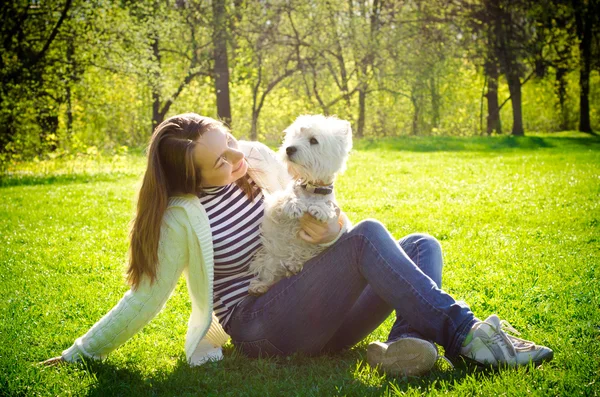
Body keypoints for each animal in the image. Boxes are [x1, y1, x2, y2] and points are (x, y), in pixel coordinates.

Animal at [247, 113, 352, 294]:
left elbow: (327, 205)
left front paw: (320, 209)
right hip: (270, 257)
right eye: (294, 136)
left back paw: (293, 266)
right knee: (270, 274)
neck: (311, 187)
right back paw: (260, 286)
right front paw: (294, 204)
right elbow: (285, 198)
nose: (289, 149)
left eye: (313, 140)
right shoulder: (273, 209)